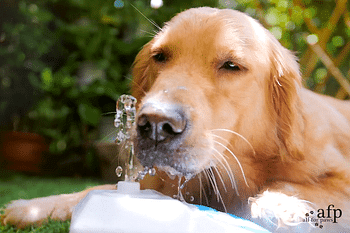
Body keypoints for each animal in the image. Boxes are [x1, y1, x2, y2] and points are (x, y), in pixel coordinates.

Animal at [1, 6, 348, 231]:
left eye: (231, 66)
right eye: (160, 56)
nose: (155, 125)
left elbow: (300, 184)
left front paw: (279, 204)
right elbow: (96, 190)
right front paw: (30, 206)